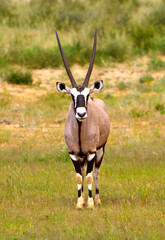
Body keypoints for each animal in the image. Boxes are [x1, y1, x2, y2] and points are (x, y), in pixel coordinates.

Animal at [56, 29, 110, 210]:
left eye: (87, 95)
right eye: (72, 95)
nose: (81, 114)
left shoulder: (92, 153)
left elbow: (89, 176)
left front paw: (91, 203)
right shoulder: (73, 154)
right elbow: (79, 177)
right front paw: (80, 203)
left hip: (100, 150)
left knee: (96, 173)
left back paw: (97, 199)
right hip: (83, 157)